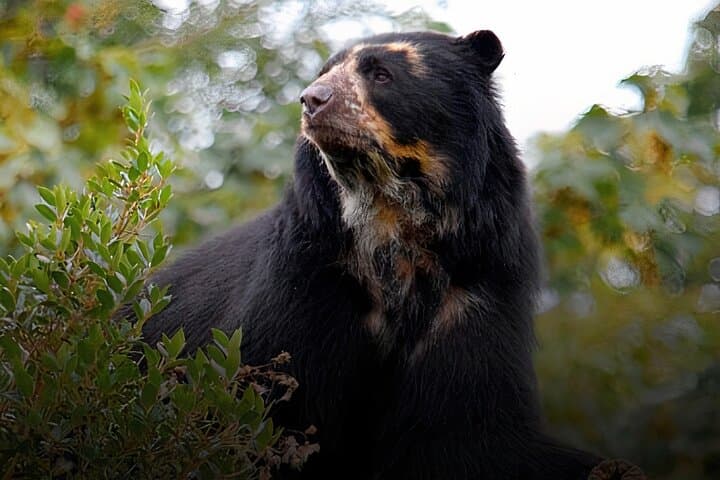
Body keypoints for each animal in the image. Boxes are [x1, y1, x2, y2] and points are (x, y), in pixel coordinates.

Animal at [141, 30, 605, 479]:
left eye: (382, 74)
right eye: (324, 72)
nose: (312, 99)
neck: (392, 222)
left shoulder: (474, 291)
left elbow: (464, 431)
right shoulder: (307, 282)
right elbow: (268, 403)